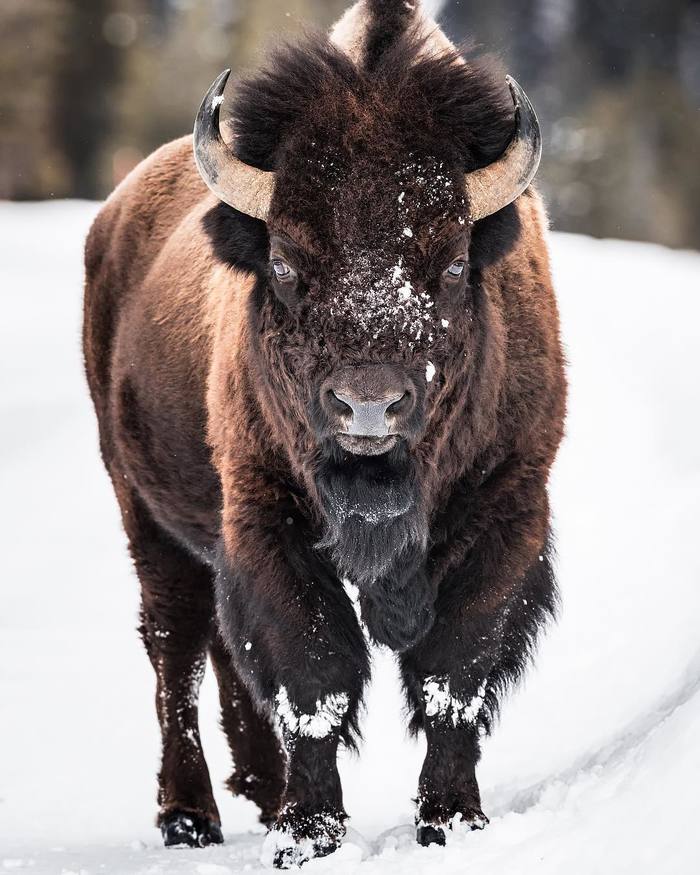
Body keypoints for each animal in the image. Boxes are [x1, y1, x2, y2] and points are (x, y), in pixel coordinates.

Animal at [82, 0, 568, 864]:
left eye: (451, 264)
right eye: (284, 261)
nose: (367, 407)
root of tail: (114, 216)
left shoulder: (508, 510)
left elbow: (454, 673)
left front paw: (451, 820)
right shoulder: (266, 517)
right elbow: (314, 676)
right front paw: (310, 834)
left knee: (218, 647)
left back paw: (261, 787)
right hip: (143, 511)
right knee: (176, 649)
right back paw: (190, 816)